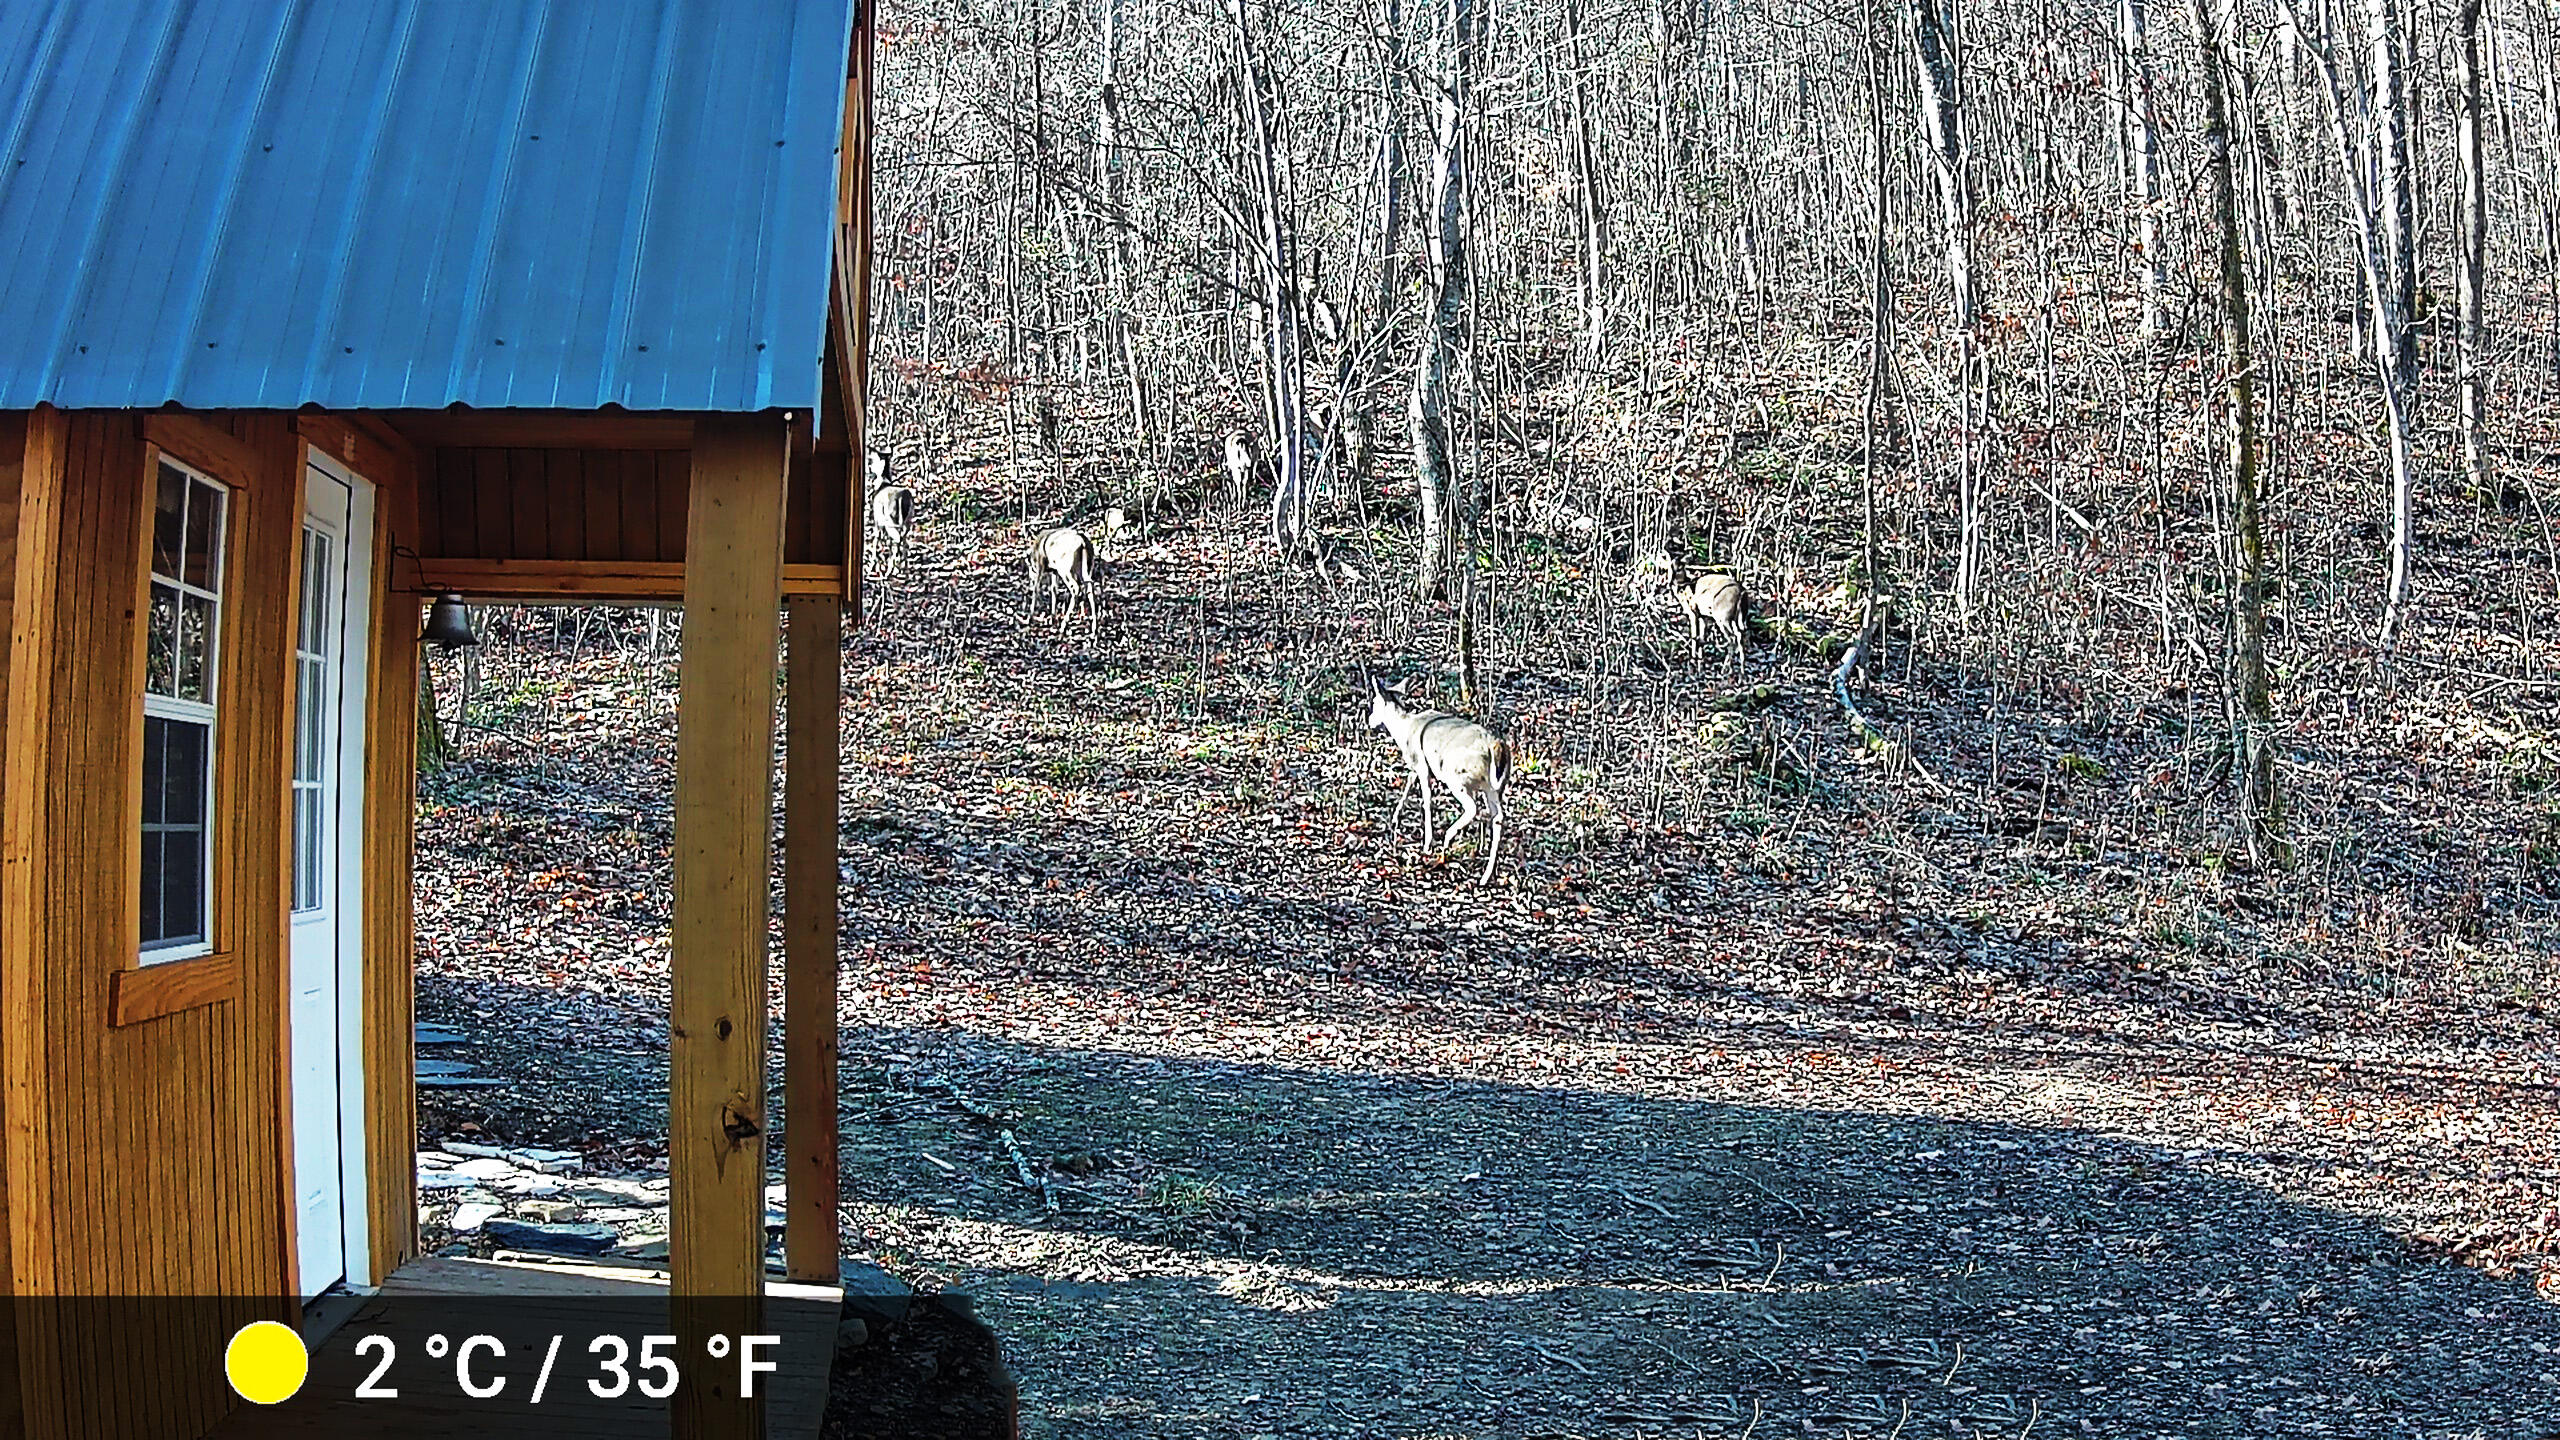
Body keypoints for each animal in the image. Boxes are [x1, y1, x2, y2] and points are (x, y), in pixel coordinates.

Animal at [1366, 678, 1513, 885]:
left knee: (1472, 808)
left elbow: (1426, 801)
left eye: (1375, 703)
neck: (1404, 729)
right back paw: (1486, 876)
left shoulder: (1422, 764)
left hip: (1457, 776)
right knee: (1498, 817)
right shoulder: (1416, 765)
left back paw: (1448, 839)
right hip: (1493, 786)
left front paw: (1427, 843)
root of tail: (1497, 746)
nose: (1370, 720)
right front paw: (1395, 818)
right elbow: (1409, 782)